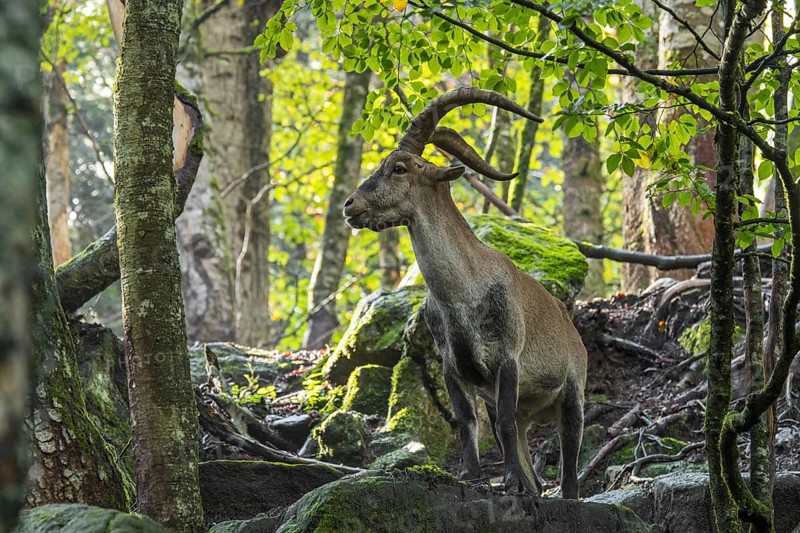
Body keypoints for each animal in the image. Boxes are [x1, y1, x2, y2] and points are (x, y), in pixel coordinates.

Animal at [343, 88, 587, 498]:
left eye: (399, 168)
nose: (350, 206)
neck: (462, 295)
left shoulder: (507, 359)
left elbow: (501, 424)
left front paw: (511, 481)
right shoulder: (454, 370)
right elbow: (467, 422)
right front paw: (473, 477)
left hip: (572, 391)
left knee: (569, 452)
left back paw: (561, 491)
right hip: (525, 406)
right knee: (522, 440)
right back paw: (532, 484)